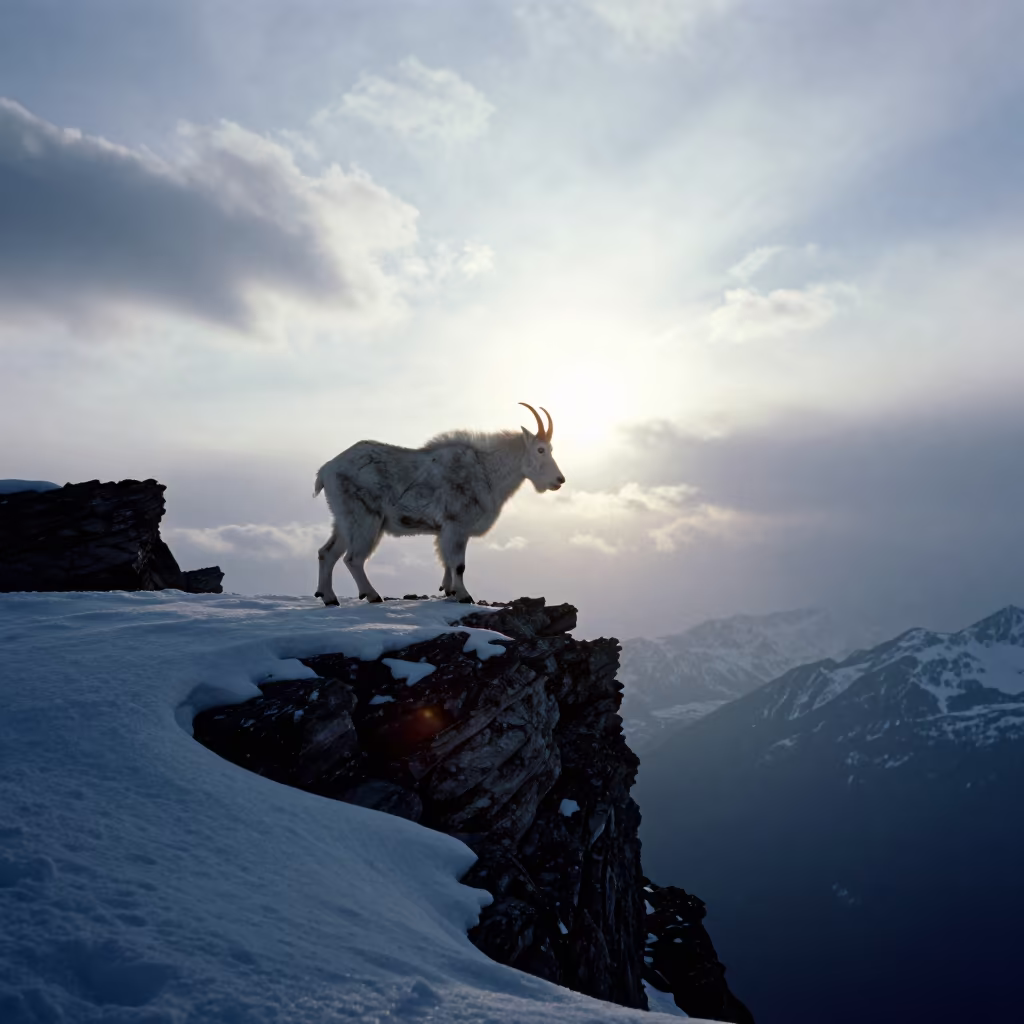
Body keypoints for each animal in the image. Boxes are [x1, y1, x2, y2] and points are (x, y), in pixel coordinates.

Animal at [313, 403, 564, 605]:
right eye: (540, 449)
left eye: (551, 449)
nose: (559, 480)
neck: (486, 469)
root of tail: (326, 470)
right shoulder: (456, 524)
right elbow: (458, 564)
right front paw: (464, 596)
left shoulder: (446, 530)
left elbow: (446, 561)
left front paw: (449, 590)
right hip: (365, 519)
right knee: (353, 559)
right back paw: (373, 596)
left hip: (344, 520)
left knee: (327, 552)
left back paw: (329, 598)